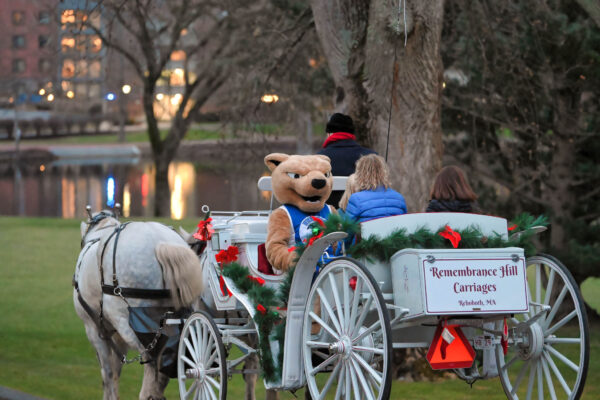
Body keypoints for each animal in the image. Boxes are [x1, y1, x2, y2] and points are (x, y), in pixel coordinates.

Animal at [72, 209, 204, 400]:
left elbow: (107, 373)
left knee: (151, 360)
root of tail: (161, 243)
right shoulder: (116, 336)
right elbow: (116, 371)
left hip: (126, 322)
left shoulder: (94, 329)